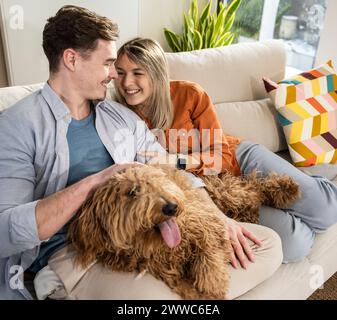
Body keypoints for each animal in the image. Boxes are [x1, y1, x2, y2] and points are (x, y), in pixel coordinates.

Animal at [68, 165, 231, 300]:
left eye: (156, 180)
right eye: (133, 191)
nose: (172, 207)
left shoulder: (205, 222)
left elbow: (210, 253)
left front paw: (212, 284)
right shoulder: (169, 272)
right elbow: (191, 290)